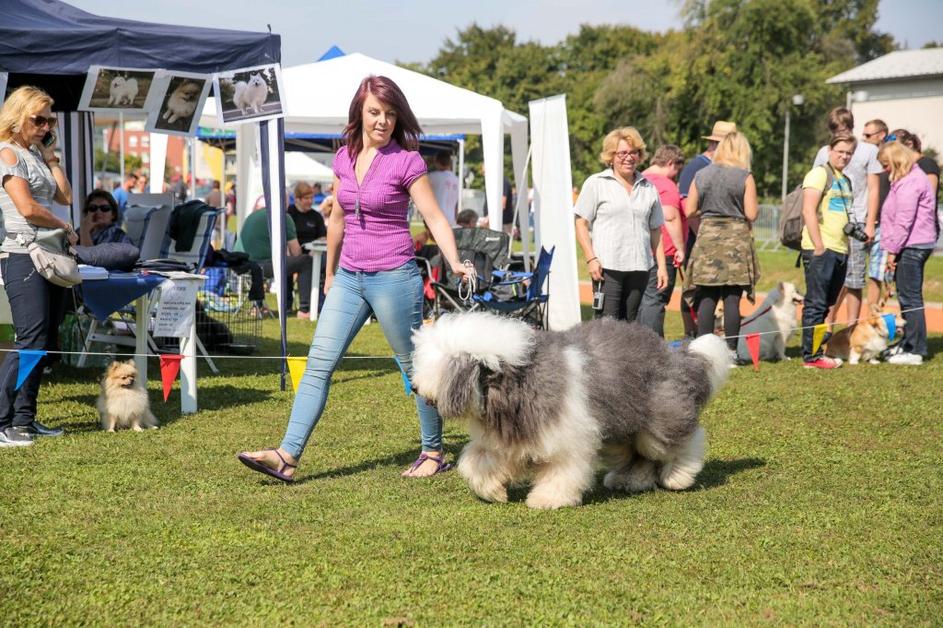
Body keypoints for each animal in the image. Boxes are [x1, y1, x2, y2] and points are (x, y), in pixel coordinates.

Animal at [412, 312, 732, 508]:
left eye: (442, 366)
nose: (414, 387)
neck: (512, 383)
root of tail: (674, 355)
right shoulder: (512, 435)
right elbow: (477, 461)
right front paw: (492, 490)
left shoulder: (565, 437)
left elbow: (562, 469)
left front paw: (547, 499)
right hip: (620, 429)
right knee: (638, 457)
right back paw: (630, 481)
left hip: (658, 417)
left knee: (682, 442)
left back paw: (678, 477)